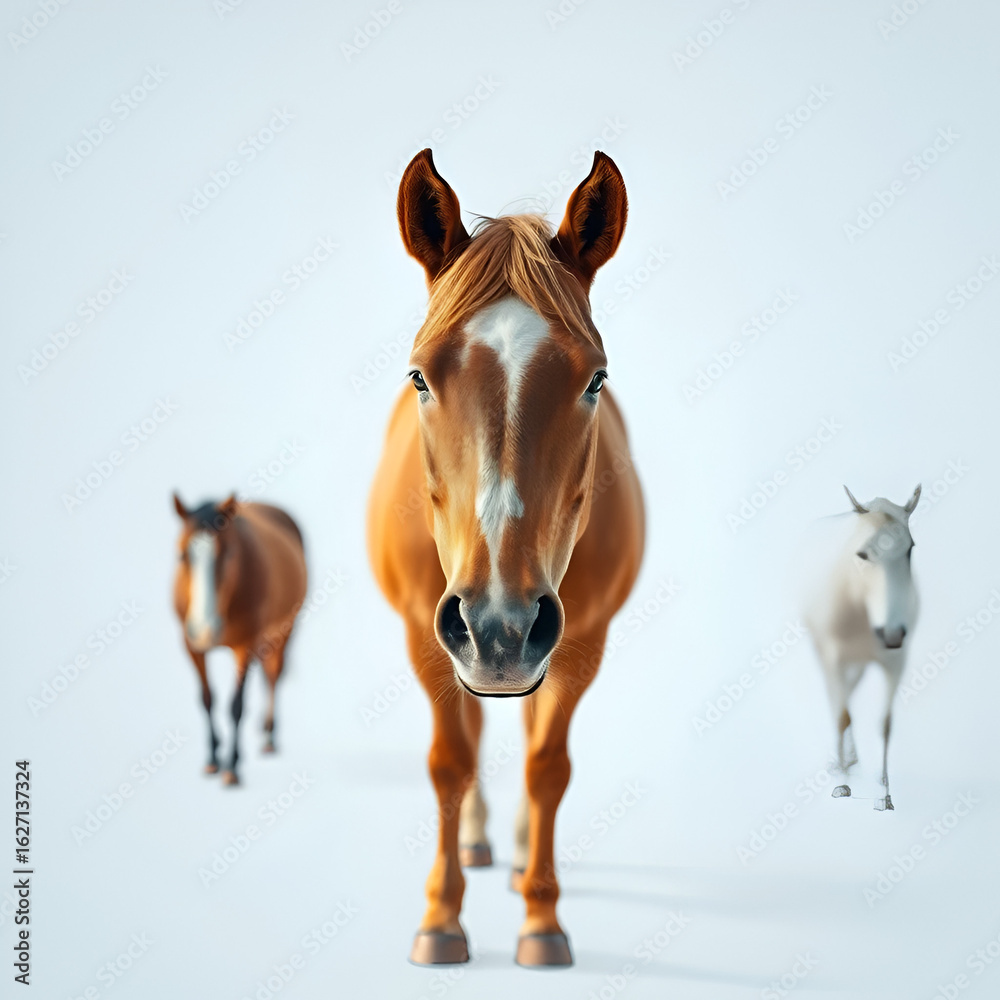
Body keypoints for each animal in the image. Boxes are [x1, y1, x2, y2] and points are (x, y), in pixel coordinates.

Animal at [172, 493, 307, 785]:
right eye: (182, 555)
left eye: (229, 554)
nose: (204, 628)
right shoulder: (190, 645)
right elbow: (207, 698)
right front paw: (213, 758)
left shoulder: (245, 645)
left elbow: (236, 705)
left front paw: (232, 766)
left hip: (285, 627)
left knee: (273, 675)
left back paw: (269, 736)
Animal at [367, 149, 645, 967]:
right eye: (420, 376)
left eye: (596, 378)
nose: (498, 626)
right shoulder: (426, 637)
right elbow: (450, 763)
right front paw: (441, 919)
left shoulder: (580, 643)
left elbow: (547, 766)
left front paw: (542, 922)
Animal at [804, 484, 921, 811]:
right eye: (863, 554)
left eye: (910, 549)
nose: (891, 635)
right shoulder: (834, 656)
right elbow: (843, 716)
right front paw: (844, 783)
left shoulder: (896, 661)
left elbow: (885, 724)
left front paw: (885, 794)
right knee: (837, 704)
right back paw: (841, 766)